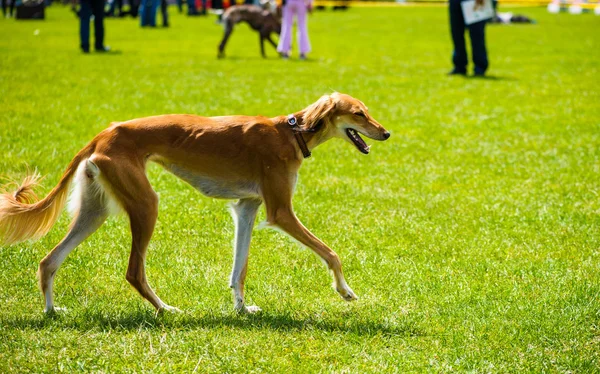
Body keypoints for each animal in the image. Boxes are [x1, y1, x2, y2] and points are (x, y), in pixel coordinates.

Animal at [0, 92, 392, 314]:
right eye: (359, 113)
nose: (387, 133)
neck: (292, 132)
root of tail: (104, 132)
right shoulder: (280, 211)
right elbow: (330, 252)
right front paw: (345, 291)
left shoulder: (247, 207)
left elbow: (239, 269)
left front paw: (242, 309)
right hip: (146, 203)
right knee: (134, 271)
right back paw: (165, 309)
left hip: (95, 210)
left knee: (49, 261)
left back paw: (52, 312)